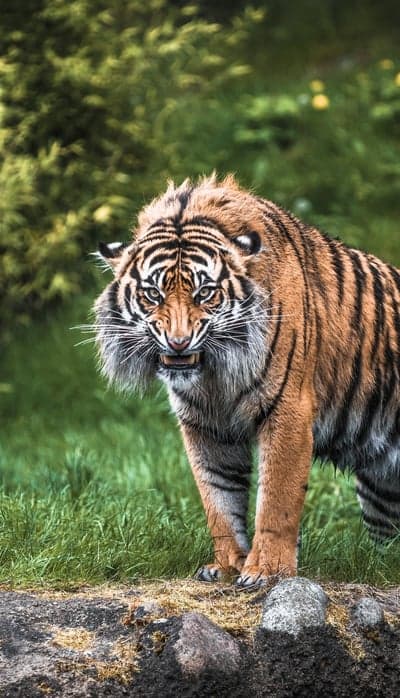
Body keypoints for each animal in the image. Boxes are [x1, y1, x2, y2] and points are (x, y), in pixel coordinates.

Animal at [93, 173, 400, 587]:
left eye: (205, 293)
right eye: (153, 294)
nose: (178, 342)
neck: (214, 373)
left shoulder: (287, 411)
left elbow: (276, 501)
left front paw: (267, 570)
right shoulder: (206, 426)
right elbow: (219, 500)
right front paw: (226, 565)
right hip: (381, 487)